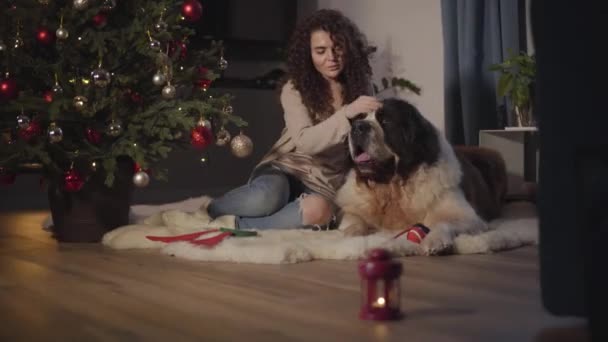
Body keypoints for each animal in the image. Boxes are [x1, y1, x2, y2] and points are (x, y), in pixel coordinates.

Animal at [338, 97, 508, 255]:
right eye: (358, 119)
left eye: (385, 121)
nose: (357, 127)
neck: (393, 186)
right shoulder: (355, 210)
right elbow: (355, 221)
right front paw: (348, 233)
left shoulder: (468, 217)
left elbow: (442, 223)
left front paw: (435, 241)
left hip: (495, 157)